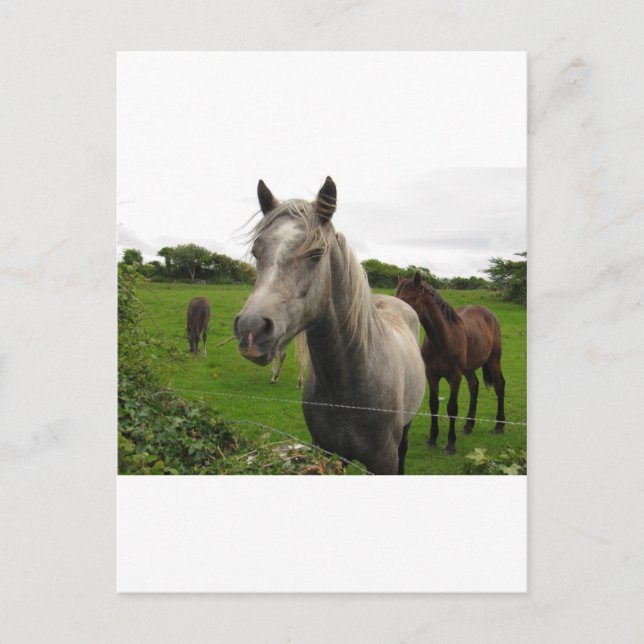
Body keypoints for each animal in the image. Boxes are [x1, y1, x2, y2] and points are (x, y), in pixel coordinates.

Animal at [395, 273, 506, 454]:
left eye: (408, 298)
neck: (442, 340)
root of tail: (488, 314)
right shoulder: (431, 375)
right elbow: (434, 404)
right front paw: (432, 439)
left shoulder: (455, 377)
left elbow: (452, 407)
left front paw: (450, 444)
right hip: (468, 369)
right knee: (474, 386)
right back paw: (468, 425)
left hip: (494, 360)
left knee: (499, 386)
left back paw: (499, 425)